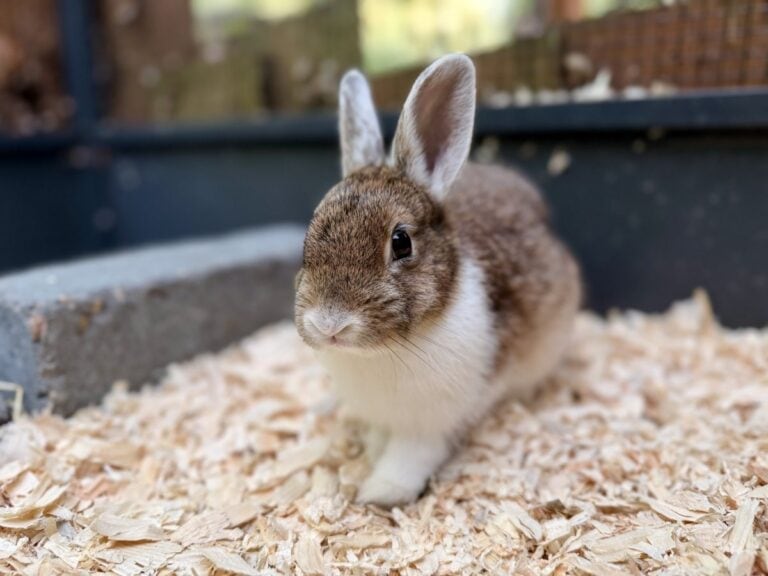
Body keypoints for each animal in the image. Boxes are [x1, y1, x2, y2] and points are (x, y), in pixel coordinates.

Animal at [294, 54, 581, 506]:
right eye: (310, 233)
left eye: (401, 242)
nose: (329, 324)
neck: (379, 355)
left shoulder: (429, 427)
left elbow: (409, 458)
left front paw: (379, 492)